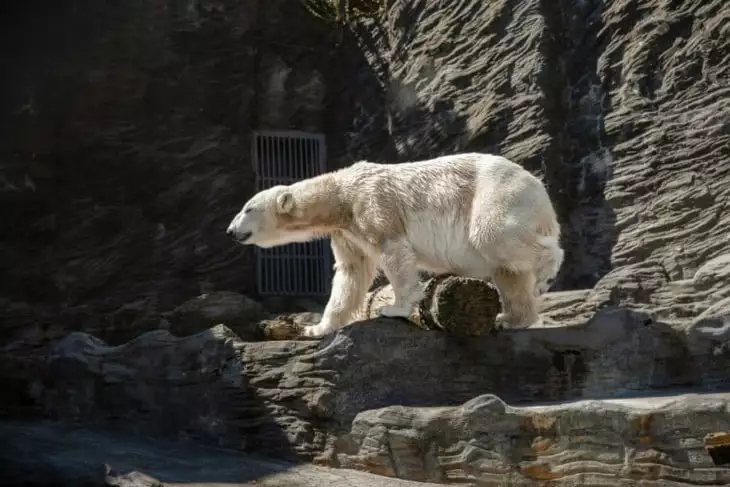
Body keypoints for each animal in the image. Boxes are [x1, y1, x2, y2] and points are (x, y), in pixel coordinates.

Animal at [228, 152, 564, 340]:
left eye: (247, 208)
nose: (231, 231)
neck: (340, 197)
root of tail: (539, 188)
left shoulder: (372, 204)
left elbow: (392, 251)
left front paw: (394, 308)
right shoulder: (346, 231)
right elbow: (351, 272)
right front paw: (318, 329)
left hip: (497, 193)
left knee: (492, 235)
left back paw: (545, 273)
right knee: (509, 272)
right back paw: (509, 319)